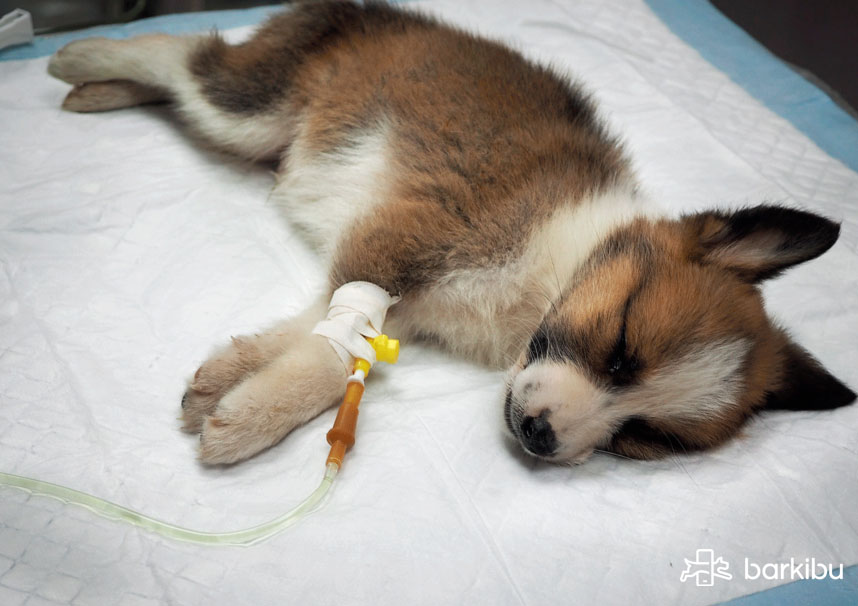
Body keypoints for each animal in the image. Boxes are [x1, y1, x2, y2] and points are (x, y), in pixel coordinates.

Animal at [46, 0, 848, 466]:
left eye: (645, 437)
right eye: (621, 348)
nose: (541, 437)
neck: (555, 267)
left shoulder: (399, 286)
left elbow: (318, 335)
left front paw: (230, 382)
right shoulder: (407, 234)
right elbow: (334, 345)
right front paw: (249, 418)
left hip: (258, 130)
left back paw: (97, 91)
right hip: (251, 106)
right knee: (184, 53)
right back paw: (83, 57)